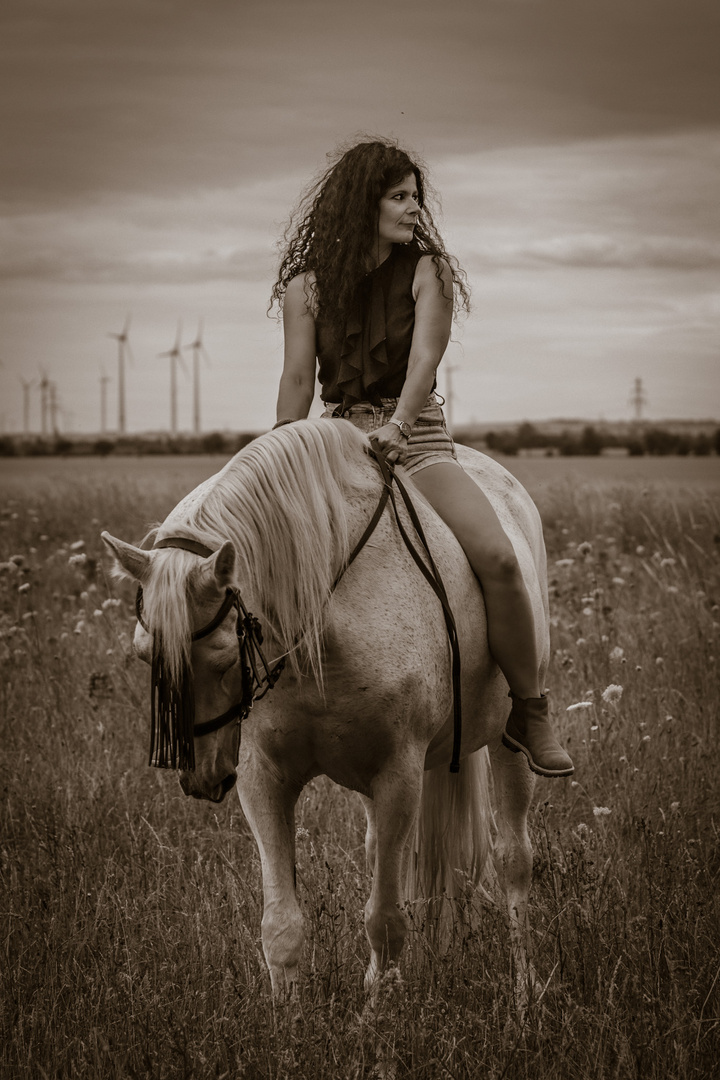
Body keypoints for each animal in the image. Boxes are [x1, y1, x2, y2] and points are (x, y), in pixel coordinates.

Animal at [99, 419, 539, 1002]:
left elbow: (384, 921)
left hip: (506, 746)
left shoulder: (398, 775)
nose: (199, 778)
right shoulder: (263, 778)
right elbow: (281, 925)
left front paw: (378, 1019)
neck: (319, 623)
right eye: (143, 655)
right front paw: (289, 1020)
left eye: (223, 657)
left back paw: (526, 995)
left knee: (513, 860)